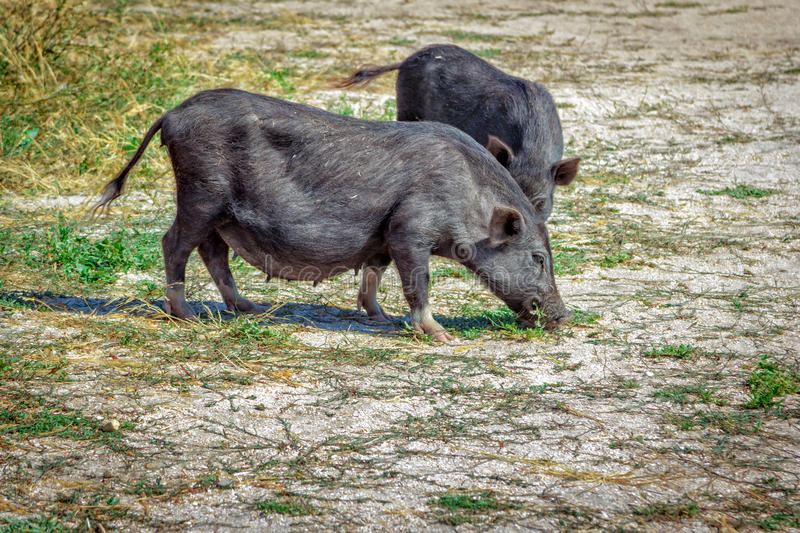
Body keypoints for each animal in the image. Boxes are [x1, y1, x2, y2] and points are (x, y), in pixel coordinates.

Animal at [94, 88, 568, 340]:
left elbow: (374, 271)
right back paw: (188, 315)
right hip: (200, 192)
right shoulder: (410, 228)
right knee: (173, 243)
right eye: (538, 258)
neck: (468, 199)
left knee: (213, 253)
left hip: (220, 210)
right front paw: (439, 334)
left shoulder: (384, 233)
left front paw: (380, 317)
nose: (564, 316)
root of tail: (172, 113)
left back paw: (247, 307)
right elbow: (417, 280)